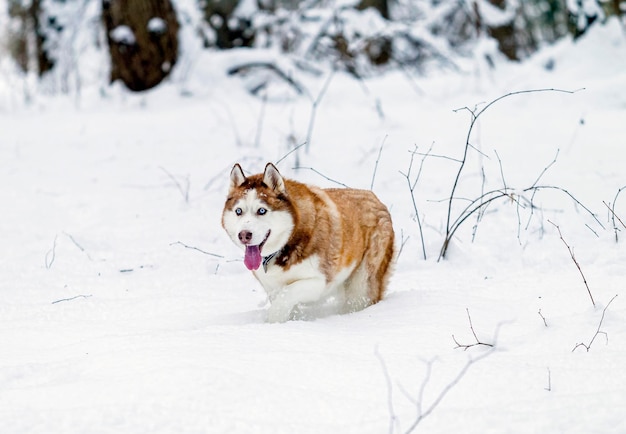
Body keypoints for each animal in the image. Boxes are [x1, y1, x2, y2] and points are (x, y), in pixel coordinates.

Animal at [222, 163, 392, 322]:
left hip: (361, 285)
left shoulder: (318, 281)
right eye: (238, 211)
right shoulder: (272, 287)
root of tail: (375, 198)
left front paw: (273, 322)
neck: (288, 242)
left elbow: (285, 296)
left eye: (261, 210)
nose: (244, 235)